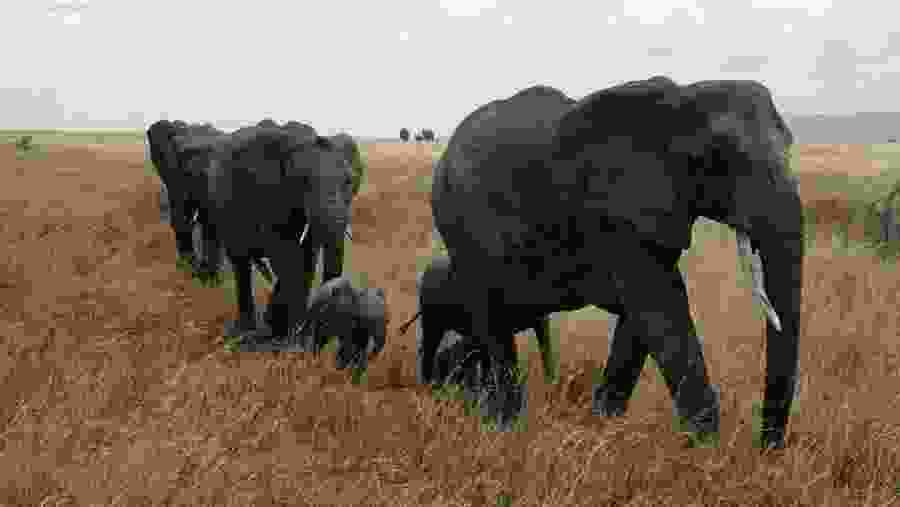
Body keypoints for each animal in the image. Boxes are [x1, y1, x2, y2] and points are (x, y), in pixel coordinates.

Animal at [201, 125, 356, 342]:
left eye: (349, 182)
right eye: (303, 182)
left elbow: (307, 258)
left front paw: (289, 331)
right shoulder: (270, 197)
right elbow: (286, 259)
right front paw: (285, 332)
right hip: (222, 207)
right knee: (240, 262)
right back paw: (244, 331)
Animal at [426, 77, 803, 449]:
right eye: (714, 159)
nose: (767, 452)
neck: (680, 98)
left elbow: (641, 317)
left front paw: (604, 429)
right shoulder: (615, 213)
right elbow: (659, 307)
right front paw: (705, 453)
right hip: (461, 233)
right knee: (493, 322)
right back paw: (505, 427)